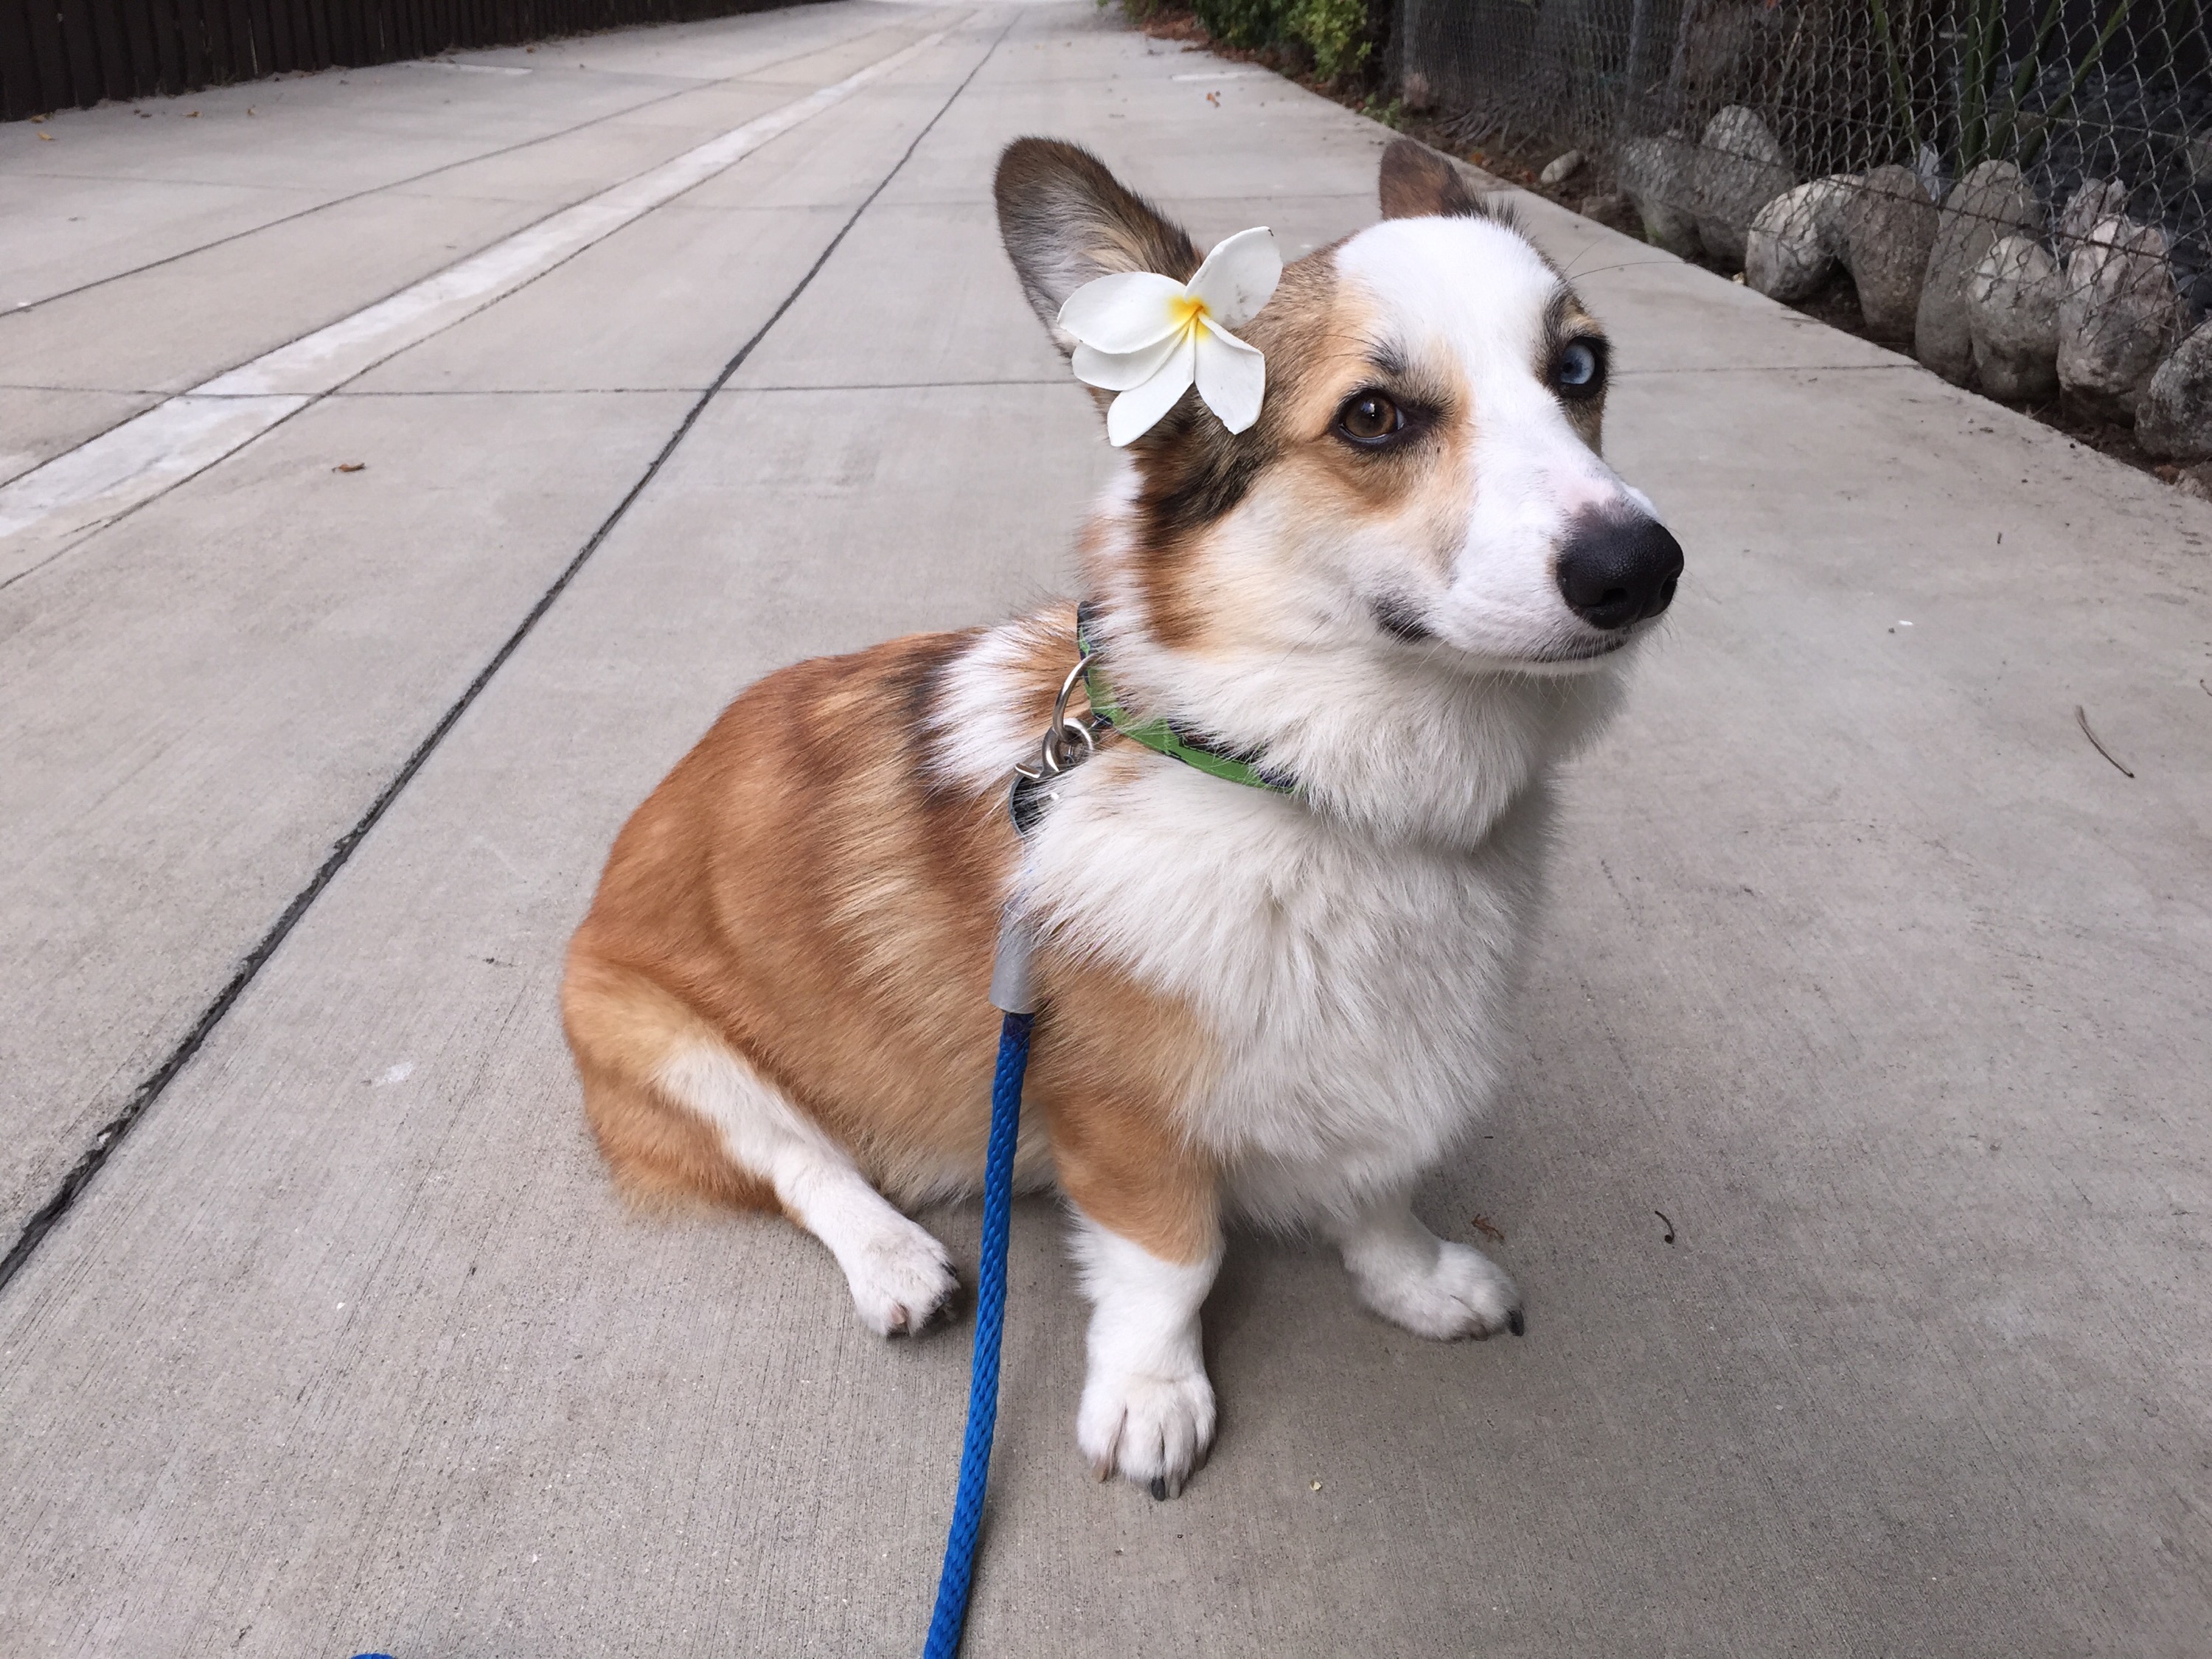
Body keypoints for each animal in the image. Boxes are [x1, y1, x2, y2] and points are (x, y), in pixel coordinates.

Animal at [562, 136, 1681, 1504]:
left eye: (1580, 367)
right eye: (1374, 418)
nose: (1643, 568)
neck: (1294, 779)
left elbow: (1379, 1197)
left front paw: (1413, 1283)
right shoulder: (1119, 1120)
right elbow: (1173, 1264)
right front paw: (1152, 1396)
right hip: (656, 1037)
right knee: (800, 1161)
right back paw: (894, 1258)